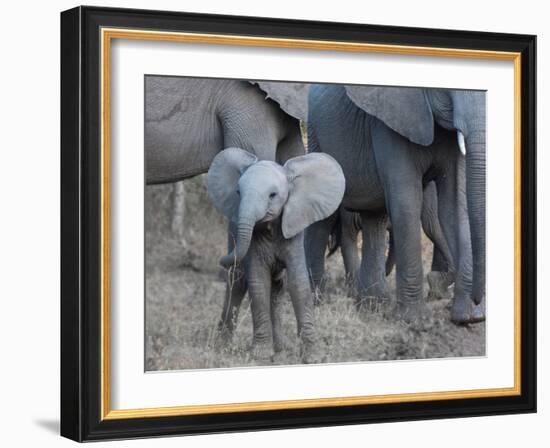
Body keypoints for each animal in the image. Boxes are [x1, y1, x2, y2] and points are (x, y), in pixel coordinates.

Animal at [208, 149, 344, 362]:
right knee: (238, 281)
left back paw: (281, 348)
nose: (221, 260)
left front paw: (312, 356)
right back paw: (224, 345)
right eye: (238, 193)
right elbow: (258, 283)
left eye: (273, 195)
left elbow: (297, 283)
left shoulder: (294, 232)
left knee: (277, 288)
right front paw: (260, 354)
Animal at [308, 83, 486, 322]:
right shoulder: (389, 121)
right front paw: (415, 320)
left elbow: (454, 204)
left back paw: (372, 306)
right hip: (316, 136)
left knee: (374, 217)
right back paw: (317, 300)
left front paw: (469, 317)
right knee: (325, 216)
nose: (477, 299)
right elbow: (407, 200)